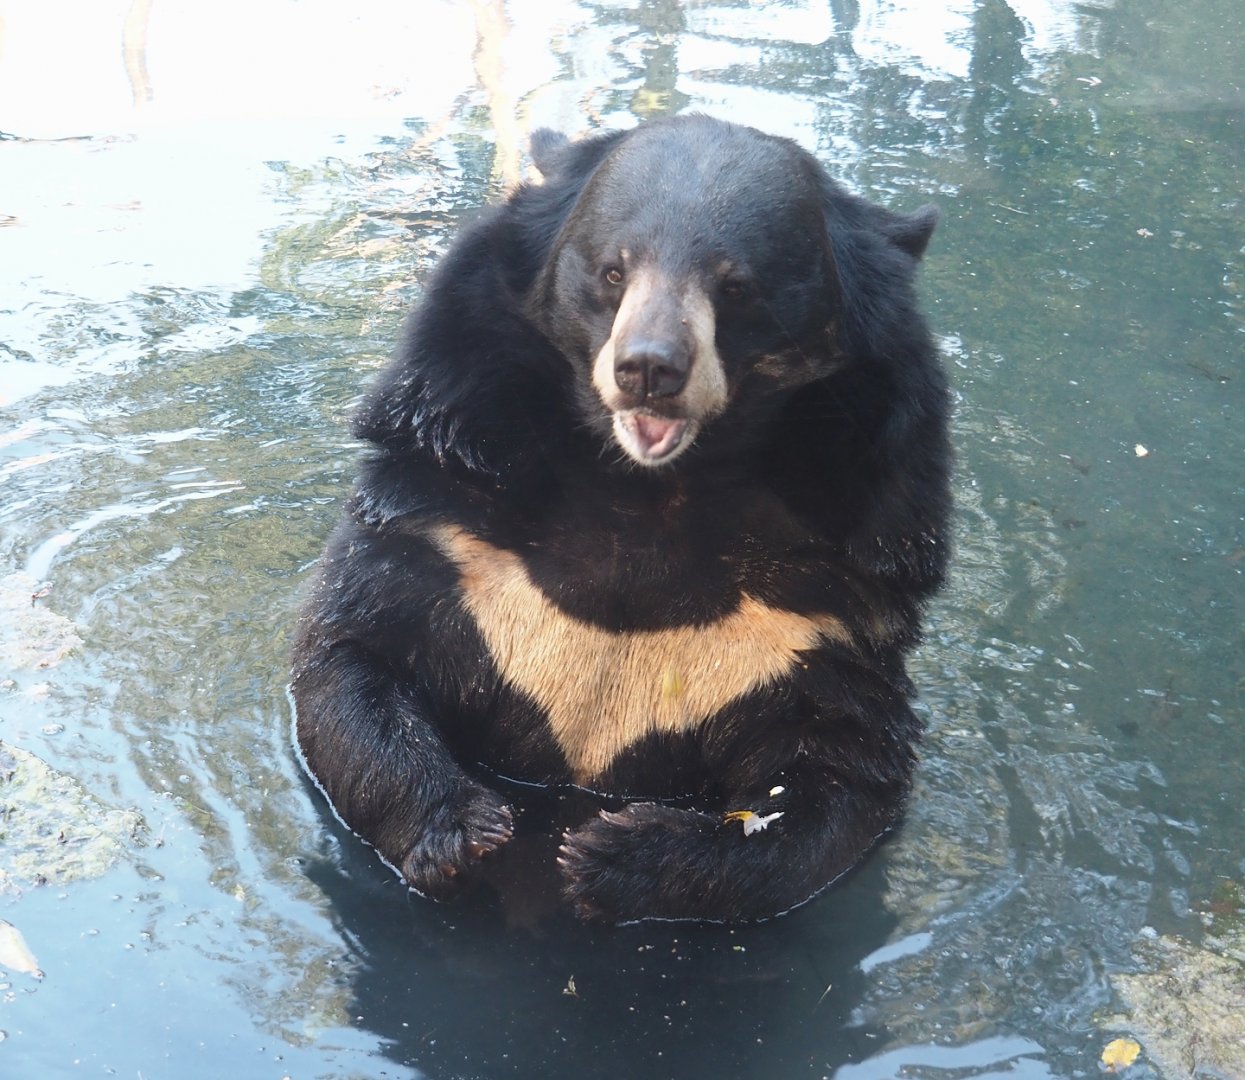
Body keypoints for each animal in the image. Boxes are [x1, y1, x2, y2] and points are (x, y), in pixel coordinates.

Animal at [291, 114, 951, 923]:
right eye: (613, 270)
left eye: (735, 286)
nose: (649, 367)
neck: (646, 492)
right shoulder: (448, 520)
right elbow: (354, 656)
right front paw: (462, 832)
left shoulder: (824, 605)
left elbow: (838, 773)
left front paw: (614, 856)